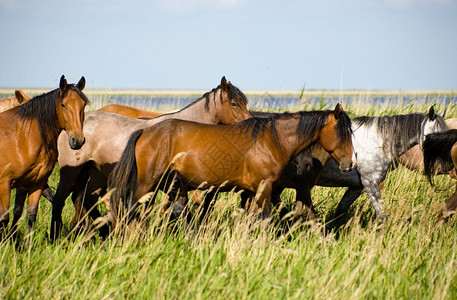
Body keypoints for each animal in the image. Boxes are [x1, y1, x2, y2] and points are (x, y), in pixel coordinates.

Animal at [0, 75, 88, 239]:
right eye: (63, 105)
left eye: (83, 105)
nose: (77, 140)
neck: (23, 138)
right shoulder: (5, 184)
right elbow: (5, 218)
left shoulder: (36, 183)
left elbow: (29, 215)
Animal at [50, 77, 251, 239]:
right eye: (234, 103)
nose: (248, 124)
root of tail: (72, 130)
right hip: (71, 174)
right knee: (60, 201)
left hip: (95, 174)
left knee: (85, 200)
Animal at [107, 104, 352, 229]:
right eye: (342, 133)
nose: (349, 164)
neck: (271, 141)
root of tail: (145, 131)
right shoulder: (264, 188)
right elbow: (264, 219)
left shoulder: (254, 192)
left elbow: (253, 219)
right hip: (146, 184)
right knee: (129, 210)